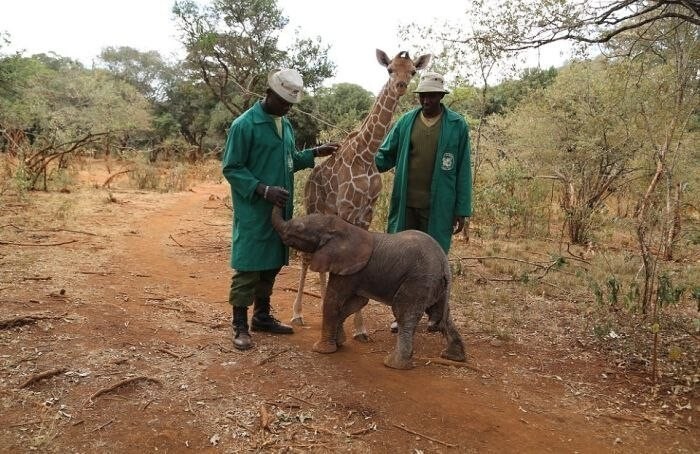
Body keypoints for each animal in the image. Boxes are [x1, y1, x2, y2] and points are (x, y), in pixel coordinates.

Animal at [272, 206, 464, 368]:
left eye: (299, 229)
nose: (282, 194)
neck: (343, 227)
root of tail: (444, 263)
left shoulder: (349, 269)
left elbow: (333, 301)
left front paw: (322, 349)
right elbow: (356, 303)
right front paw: (339, 342)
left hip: (418, 280)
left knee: (404, 313)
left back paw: (393, 364)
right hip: (436, 285)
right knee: (443, 315)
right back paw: (453, 356)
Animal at [292, 49, 432, 340]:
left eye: (413, 71)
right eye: (390, 69)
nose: (400, 85)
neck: (367, 154)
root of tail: (310, 178)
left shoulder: (366, 211)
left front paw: (359, 328)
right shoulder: (347, 208)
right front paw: (339, 329)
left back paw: (323, 301)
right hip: (314, 206)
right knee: (306, 257)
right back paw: (297, 314)